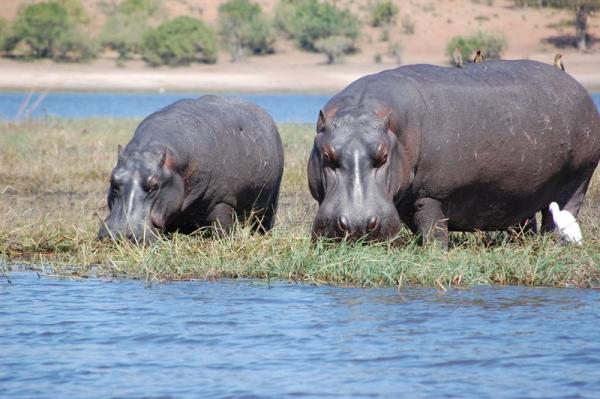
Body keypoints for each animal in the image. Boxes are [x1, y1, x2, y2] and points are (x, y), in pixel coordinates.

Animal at [97, 96, 284, 244]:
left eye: (154, 185)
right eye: (112, 180)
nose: (119, 235)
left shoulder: (222, 200)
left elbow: (222, 226)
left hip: (271, 202)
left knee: (264, 221)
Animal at [310, 60, 600, 247]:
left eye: (382, 156)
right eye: (326, 154)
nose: (357, 225)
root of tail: (579, 88)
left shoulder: (431, 195)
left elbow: (434, 232)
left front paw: (433, 254)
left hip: (578, 178)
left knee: (561, 214)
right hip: (522, 191)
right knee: (527, 221)